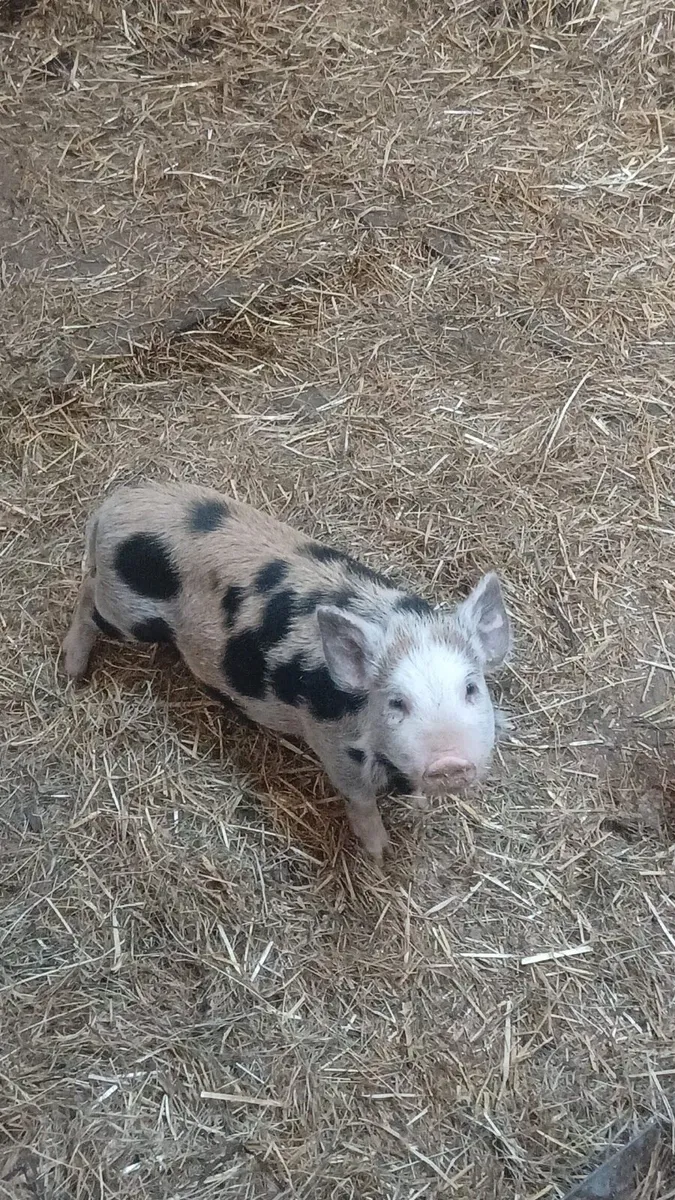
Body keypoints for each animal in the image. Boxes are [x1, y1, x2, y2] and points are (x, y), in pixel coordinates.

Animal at [62, 481, 511, 860]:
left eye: (471, 689)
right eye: (397, 702)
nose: (449, 763)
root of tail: (111, 507)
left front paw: (416, 807)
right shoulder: (333, 745)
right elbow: (360, 799)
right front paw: (379, 856)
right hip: (127, 614)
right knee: (86, 599)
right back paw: (71, 670)